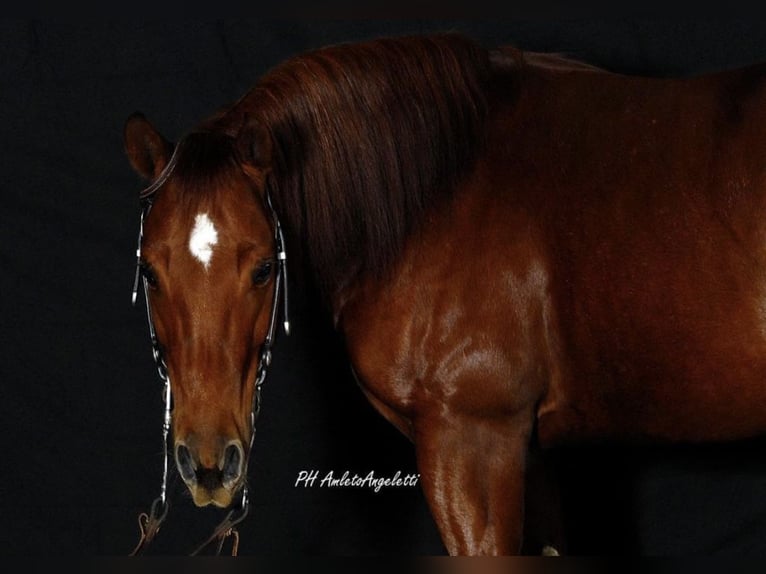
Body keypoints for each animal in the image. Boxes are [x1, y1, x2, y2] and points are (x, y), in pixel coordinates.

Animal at [123, 31, 766, 555]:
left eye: (262, 269)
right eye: (150, 273)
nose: (209, 464)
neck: (434, 194)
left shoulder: (472, 443)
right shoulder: (532, 454)